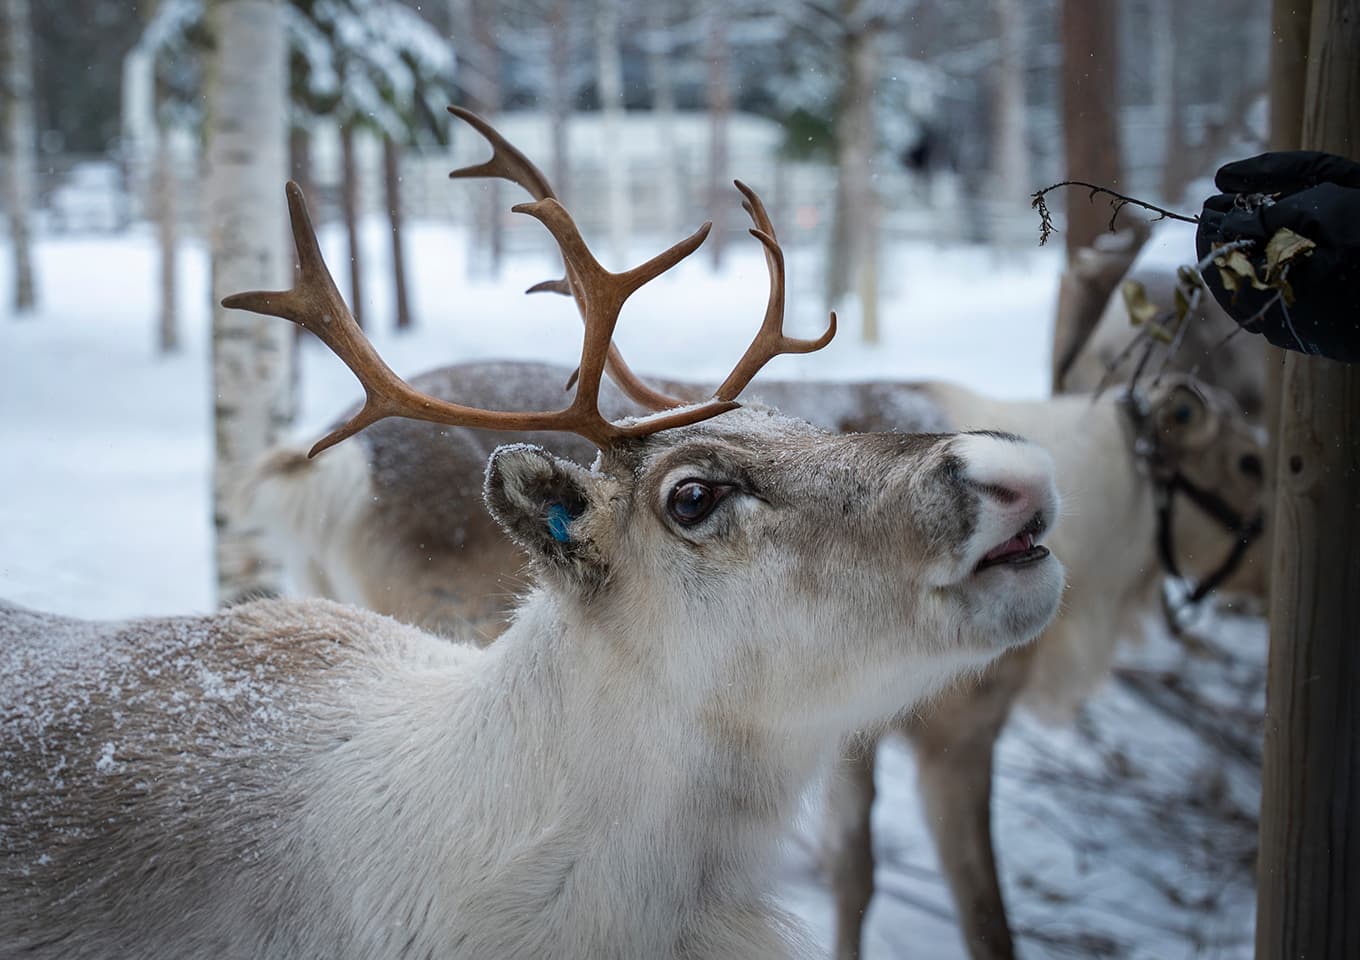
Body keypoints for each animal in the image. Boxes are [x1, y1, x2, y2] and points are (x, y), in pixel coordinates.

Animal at [243, 112, 1270, 960]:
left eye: (809, 425)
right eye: (1253, 462)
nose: (1015, 478)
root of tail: (322, 468)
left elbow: (853, 872)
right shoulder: (955, 729)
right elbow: (982, 914)